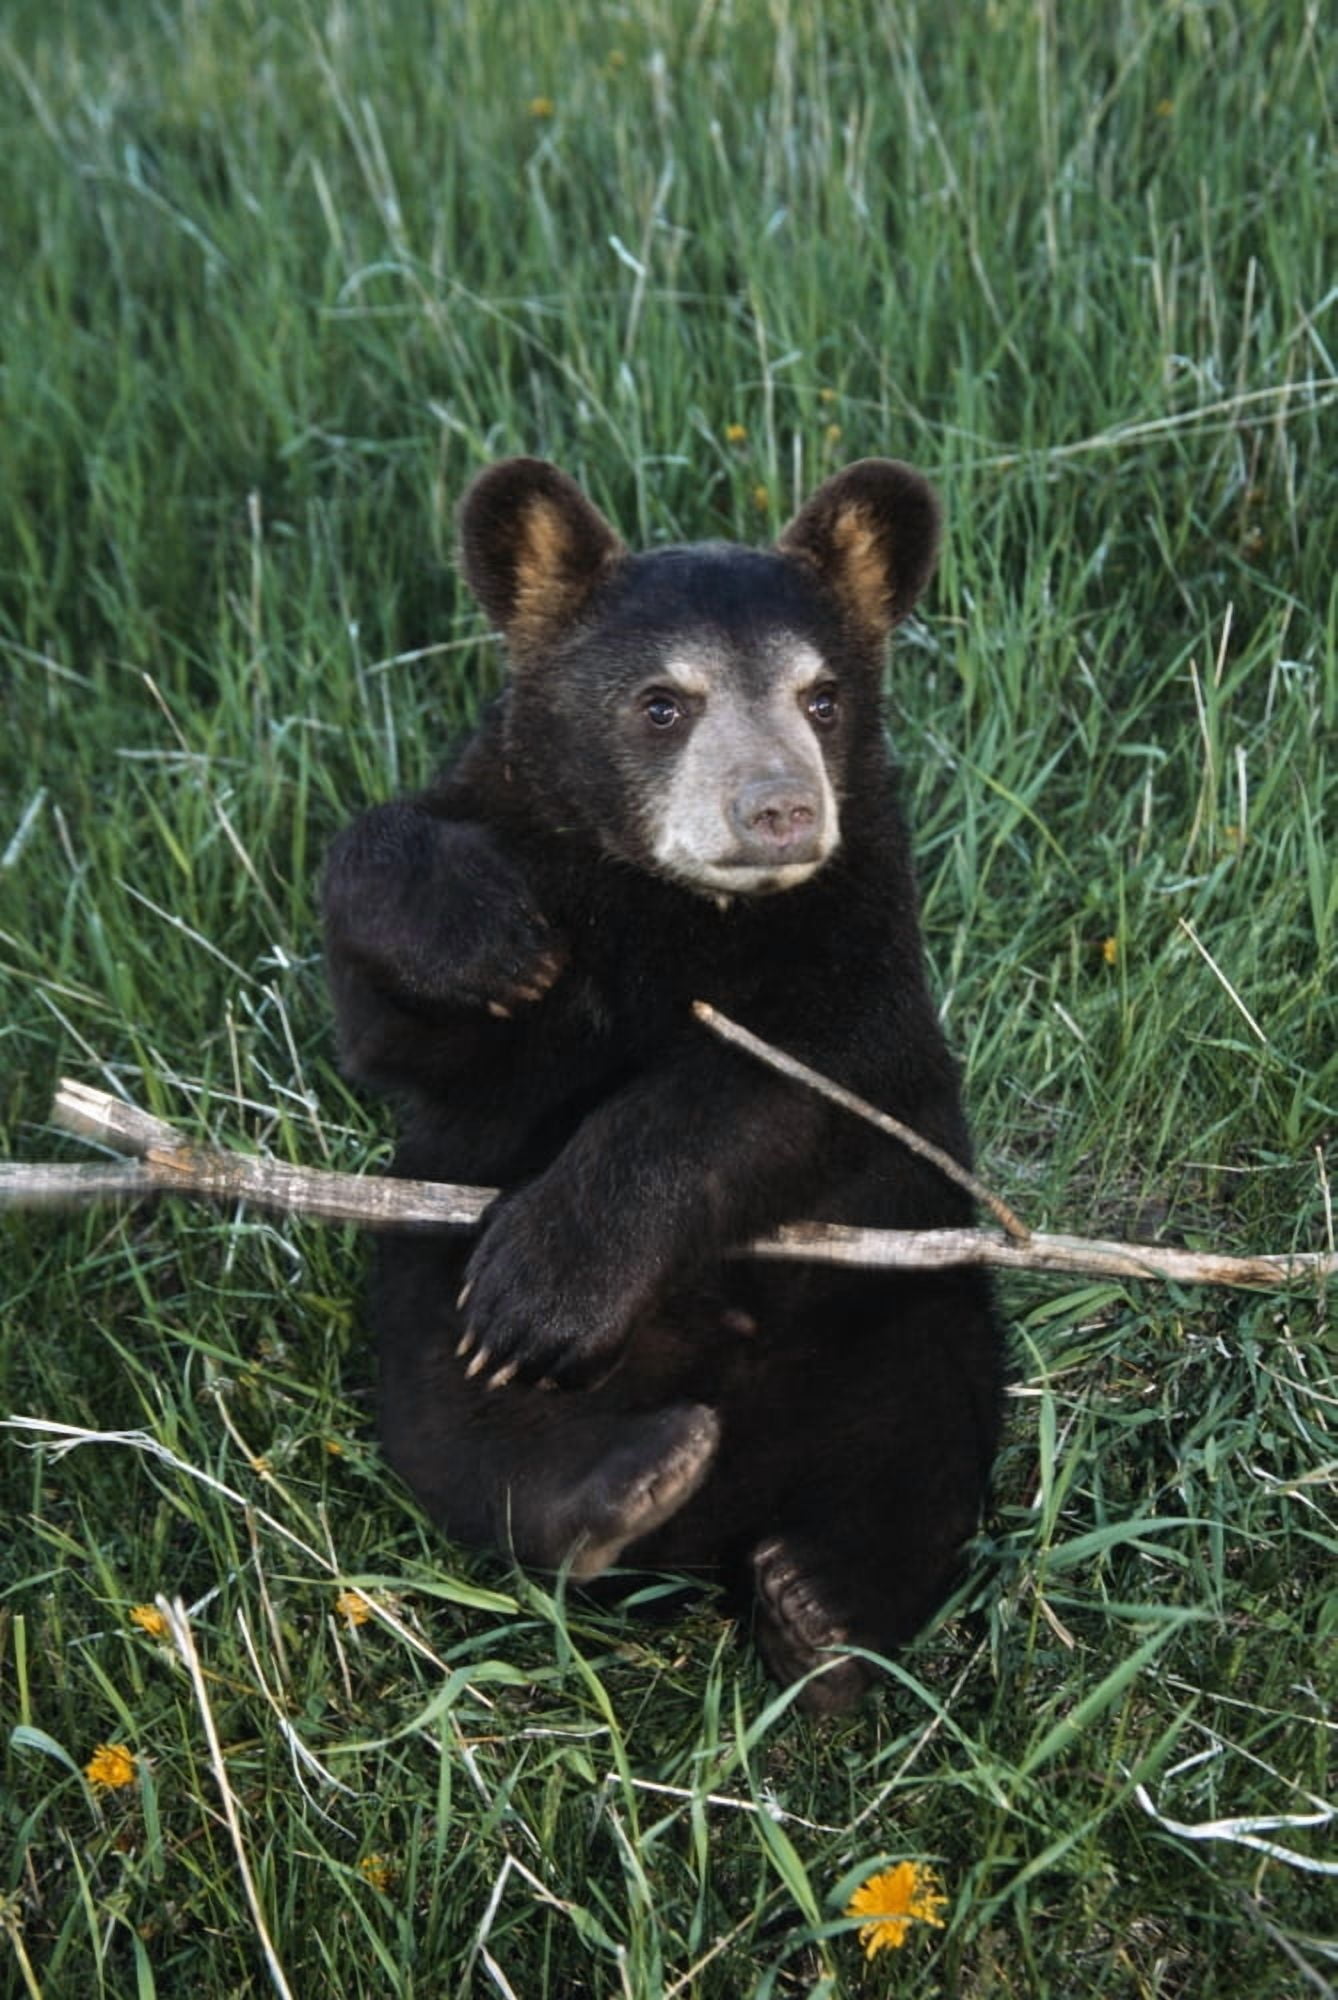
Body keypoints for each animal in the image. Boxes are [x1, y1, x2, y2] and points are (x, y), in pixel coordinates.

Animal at [322, 455, 1004, 1714]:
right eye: (661, 703)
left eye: (822, 698)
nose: (779, 810)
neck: (678, 907)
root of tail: (717, 1529)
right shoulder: (525, 889)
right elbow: (403, 1022)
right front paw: (481, 934)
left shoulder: (863, 942)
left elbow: (782, 1080)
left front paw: (546, 1281)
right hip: (417, 1327)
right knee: (465, 1437)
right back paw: (626, 1482)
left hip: (910, 1307)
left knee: (926, 1438)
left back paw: (823, 1612)